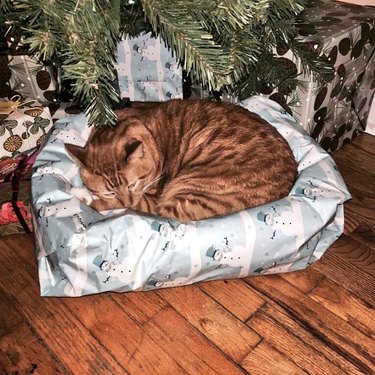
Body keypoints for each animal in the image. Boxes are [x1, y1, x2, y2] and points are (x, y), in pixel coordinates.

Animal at [65, 100, 300, 223]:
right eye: (109, 191)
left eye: (133, 184)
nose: (128, 202)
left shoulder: (150, 199)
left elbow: (104, 204)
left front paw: (81, 194)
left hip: (190, 190)